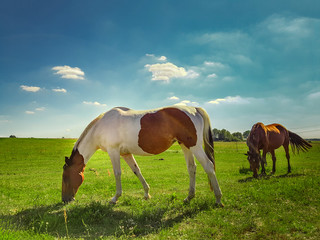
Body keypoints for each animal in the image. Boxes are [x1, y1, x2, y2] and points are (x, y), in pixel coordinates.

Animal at [62, 105, 222, 206]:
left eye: (65, 178)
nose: (65, 200)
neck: (101, 126)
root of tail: (194, 109)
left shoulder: (114, 151)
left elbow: (117, 173)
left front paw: (115, 198)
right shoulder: (125, 153)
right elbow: (136, 171)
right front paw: (146, 194)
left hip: (194, 146)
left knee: (208, 166)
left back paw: (218, 199)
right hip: (185, 146)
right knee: (192, 168)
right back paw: (189, 197)